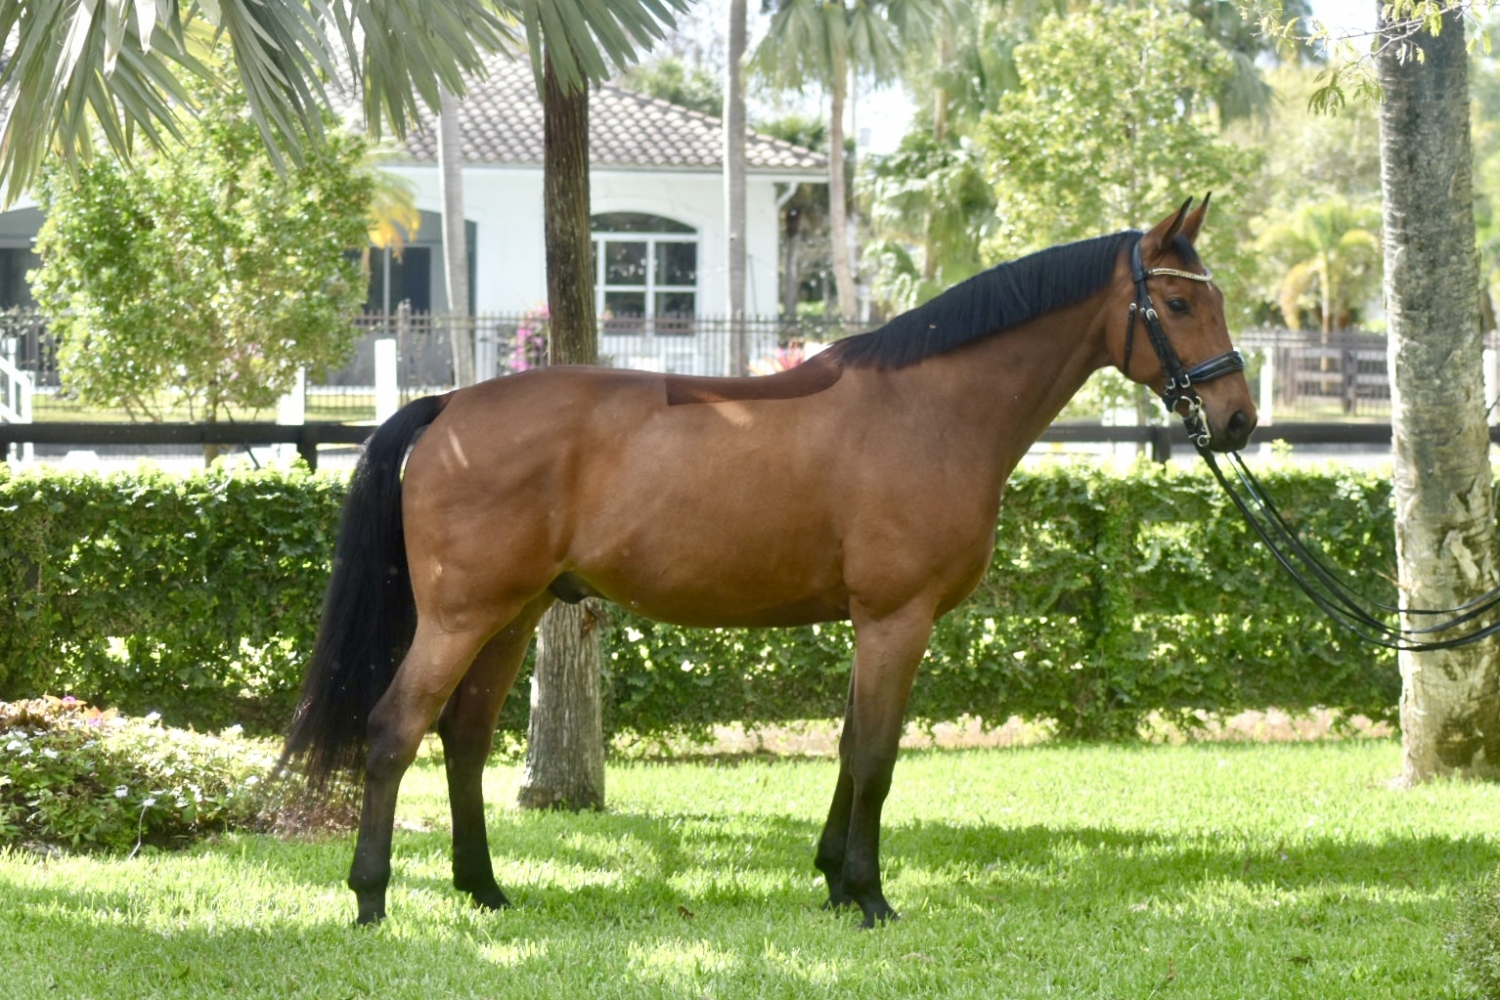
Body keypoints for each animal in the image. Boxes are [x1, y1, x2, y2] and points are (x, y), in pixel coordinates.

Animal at [283, 197, 1257, 928]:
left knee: (465, 736)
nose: (1238, 418)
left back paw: (483, 886)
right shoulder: (896, 619)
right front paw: (869, 895)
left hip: (514, 614)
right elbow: (877, 756)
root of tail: (447, 408)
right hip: (460, 616)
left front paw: (833, 881)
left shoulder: (874, 625)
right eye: (1176, 306)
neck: (932, 409)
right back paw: (370, 898)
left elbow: (850, 747)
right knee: (394, 730)